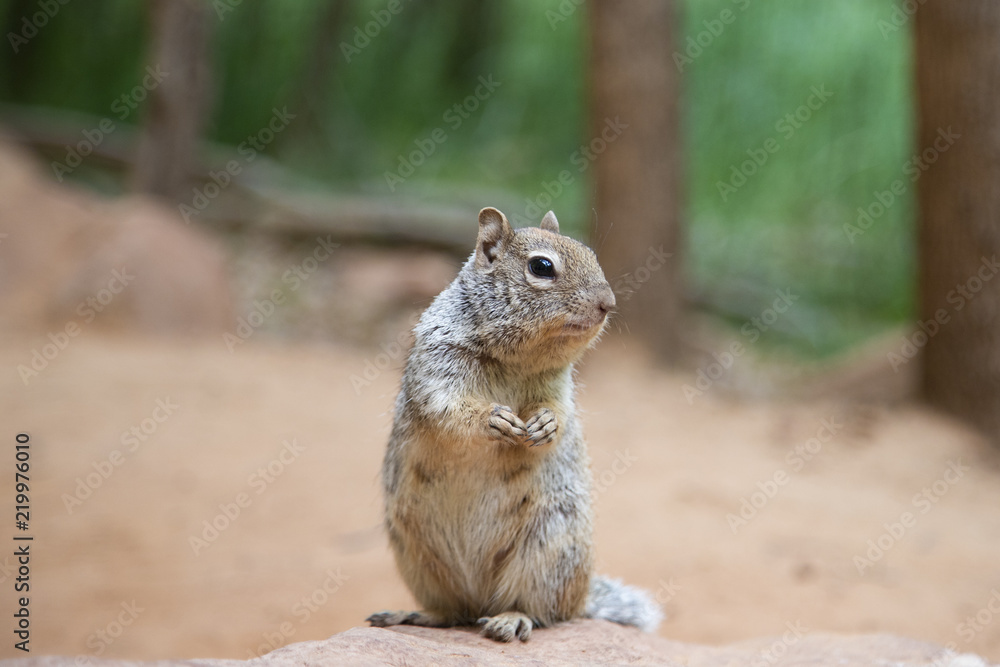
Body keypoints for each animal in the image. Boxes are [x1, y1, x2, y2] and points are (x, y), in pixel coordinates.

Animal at [367, 207, 662, 642]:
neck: (518, 359)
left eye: (591, 254)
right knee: (455, 611)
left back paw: (511, 618)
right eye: (541, 267)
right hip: (419, 555)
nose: (608, 303)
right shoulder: (437, 366)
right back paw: (417, 614)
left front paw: (545, 424)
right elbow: (445, 409)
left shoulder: (559, 386)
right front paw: (494, 420)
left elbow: (560, 411)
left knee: (542, 611)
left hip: (547, 550)